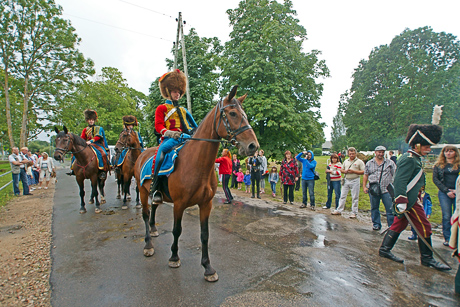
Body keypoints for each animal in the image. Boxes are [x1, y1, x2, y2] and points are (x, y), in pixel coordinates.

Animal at [135, 85, 260, 282]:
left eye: (245, 114)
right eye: (232, 113)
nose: (253, 146)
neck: (197, 164)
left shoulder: (206, 204)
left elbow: (205, 235)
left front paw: (208, 267)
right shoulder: (179, 205)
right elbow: (176, 230)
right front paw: (174, 257)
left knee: (154, 208)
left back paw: (154, 230)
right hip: (141, 191)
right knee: (146, 215)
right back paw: (148, 245)